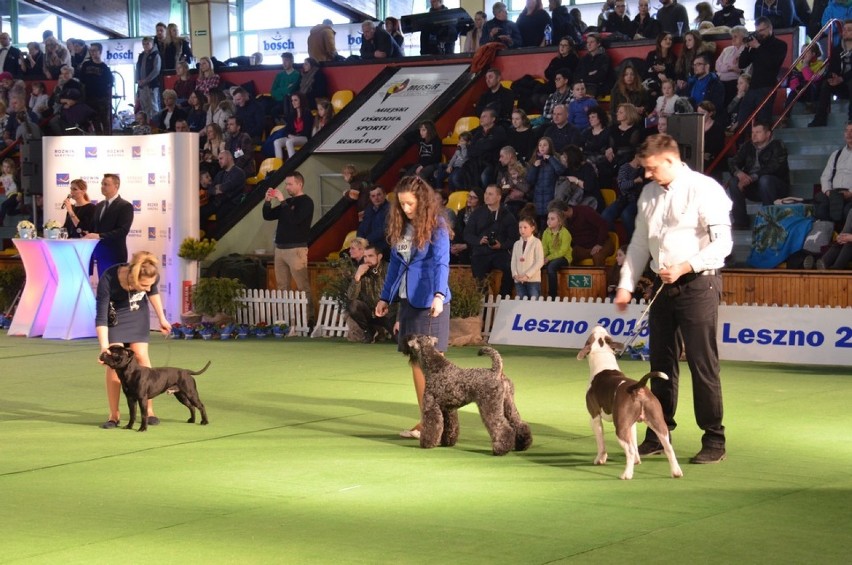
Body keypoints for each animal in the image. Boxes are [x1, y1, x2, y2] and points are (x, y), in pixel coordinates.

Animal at [576, 324, 684, 478]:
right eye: (604, 335)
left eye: (592, 336)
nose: (599, 325)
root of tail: (638, 387)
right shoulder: (631, 424)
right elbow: (634, 442)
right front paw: (637, 461)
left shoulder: (595, 417)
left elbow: (601, 442)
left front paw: (600, 459)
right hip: (658, 422)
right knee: (668, 447)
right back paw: (676, 472)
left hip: (620, 428)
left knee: (630, 450)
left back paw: (626, 474)